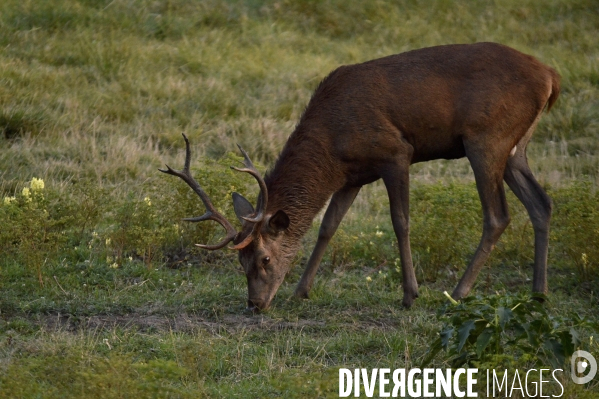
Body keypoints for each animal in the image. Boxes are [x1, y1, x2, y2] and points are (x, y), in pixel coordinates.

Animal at [162, 43, 560, 312]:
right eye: (240, 262)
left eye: (265, 260)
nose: (255, 304)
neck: (331, 144)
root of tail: (551, 76)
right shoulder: (351, 176)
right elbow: (328, 226)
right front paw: (300, 290)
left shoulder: (396, 152)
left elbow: (400, 221)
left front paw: (410, 294)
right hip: (514, 147)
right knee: (541, 203)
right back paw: (539, 293)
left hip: (486, 137)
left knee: (497, 215)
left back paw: (458, 293)